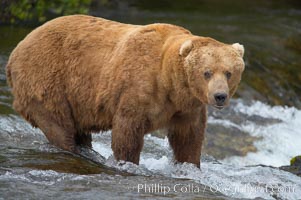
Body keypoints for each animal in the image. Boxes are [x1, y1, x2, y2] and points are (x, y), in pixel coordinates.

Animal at [5, 14, 244, 167]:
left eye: (228, 72)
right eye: (207, 72)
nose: (219, 96)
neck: (170, 82)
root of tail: (15, 51)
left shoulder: (187, 106)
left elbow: (188, 138)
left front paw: (189, 166)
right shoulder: (137, 88)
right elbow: (128, 132)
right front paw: (127, 163)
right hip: (46, 81)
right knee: (58, 125)